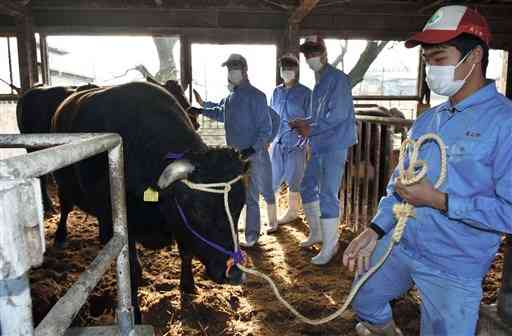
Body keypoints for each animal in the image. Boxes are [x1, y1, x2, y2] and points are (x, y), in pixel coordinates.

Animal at [51, 81, 247, 322]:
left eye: (240, 207)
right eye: (199, 210)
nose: (234, 273)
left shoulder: (178, 221)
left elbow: (186, 252)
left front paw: (188, 285)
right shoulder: (127, 227)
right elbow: (131, 269)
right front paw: (134, 313)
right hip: (63, 184)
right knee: (66, 207)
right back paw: (61, 236)